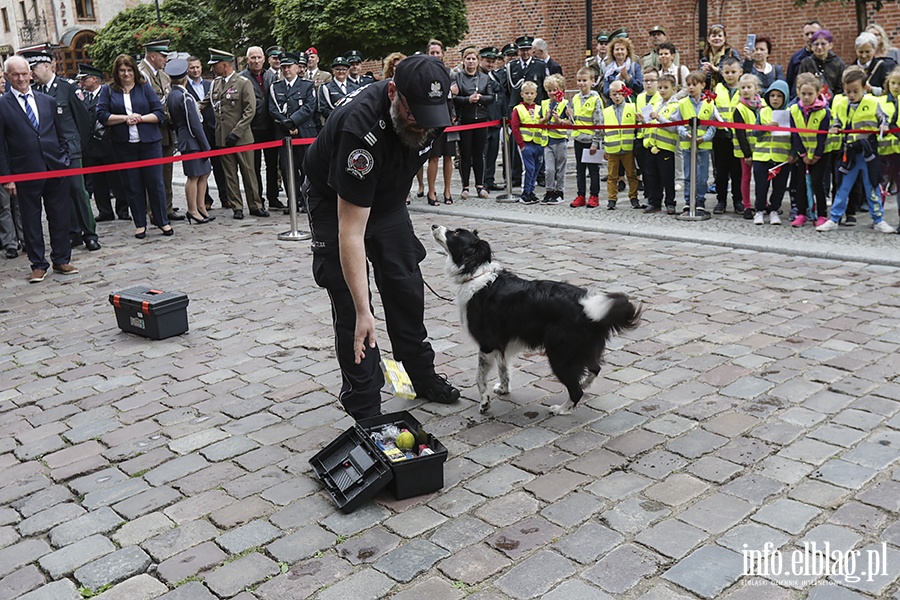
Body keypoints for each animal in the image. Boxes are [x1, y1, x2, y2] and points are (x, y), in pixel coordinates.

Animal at [434, 223, 640, 414]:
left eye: (456, 233)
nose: (434, 225)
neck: (476, 273)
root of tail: (587, 305)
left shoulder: (487, 343)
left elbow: (479, 378)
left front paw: (484, 403)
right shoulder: (501, 343)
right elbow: (503, 369)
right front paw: (504, 389)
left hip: (560, 354)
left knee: (576, 390)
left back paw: (561, 409)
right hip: (581, 350)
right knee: (594, 369)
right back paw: (584, 385)